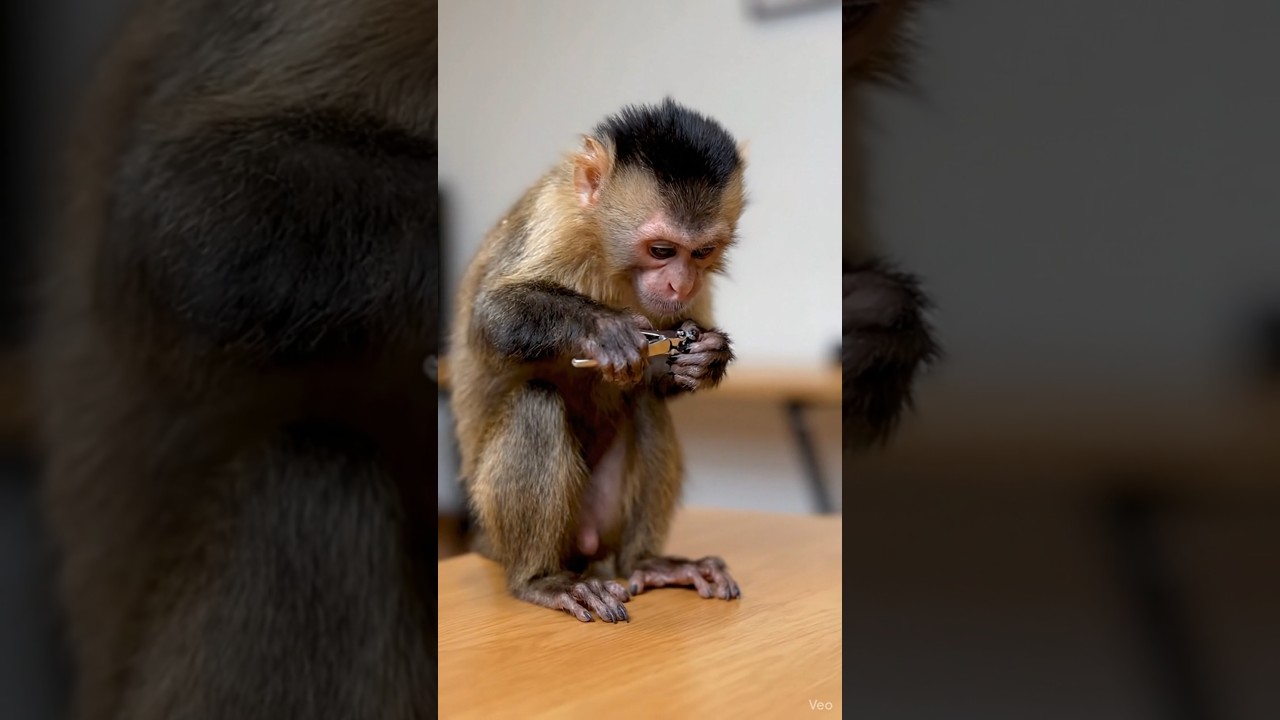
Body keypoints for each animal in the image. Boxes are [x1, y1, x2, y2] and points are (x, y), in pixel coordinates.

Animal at [449, 99, 744, 623]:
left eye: (702, 253)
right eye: (662, 251)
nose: (680, 284)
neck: (614, 261)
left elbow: (663, 377)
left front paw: (707, 357)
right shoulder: (556, 216)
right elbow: (488, 316)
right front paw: (602, 328)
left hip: (603, 524)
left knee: (646, 403)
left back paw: (647, 563)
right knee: (535, 403)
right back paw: (541, 580)